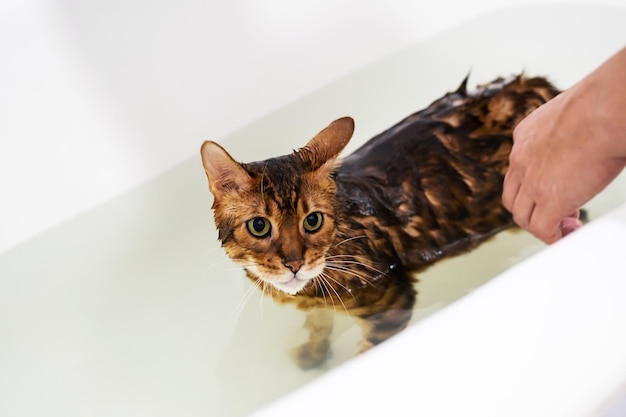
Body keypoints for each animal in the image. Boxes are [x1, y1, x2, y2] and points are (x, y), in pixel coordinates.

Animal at [199, 75, 556, 368]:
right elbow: (318, 323)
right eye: (259, 226)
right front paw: (313, 352)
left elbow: (367, 349)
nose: (294, 263)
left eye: (312, 221)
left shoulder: (390, 302)